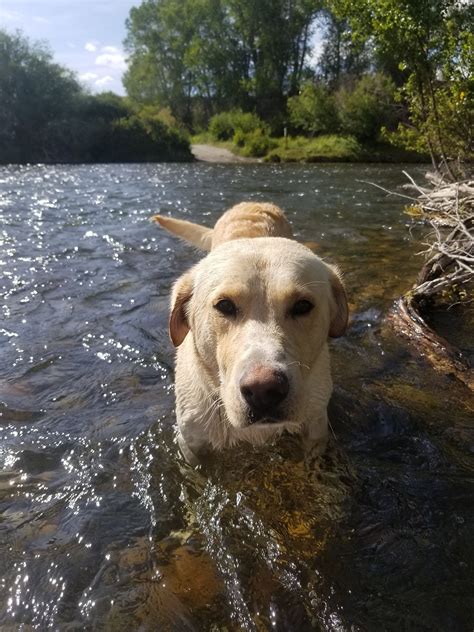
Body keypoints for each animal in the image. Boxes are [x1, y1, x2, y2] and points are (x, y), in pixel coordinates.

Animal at [153, 202, 348, 464]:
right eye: (224, 305)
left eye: (302, 306)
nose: (264, 390)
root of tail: (253, 203)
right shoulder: (191, 445)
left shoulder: (316, 430)